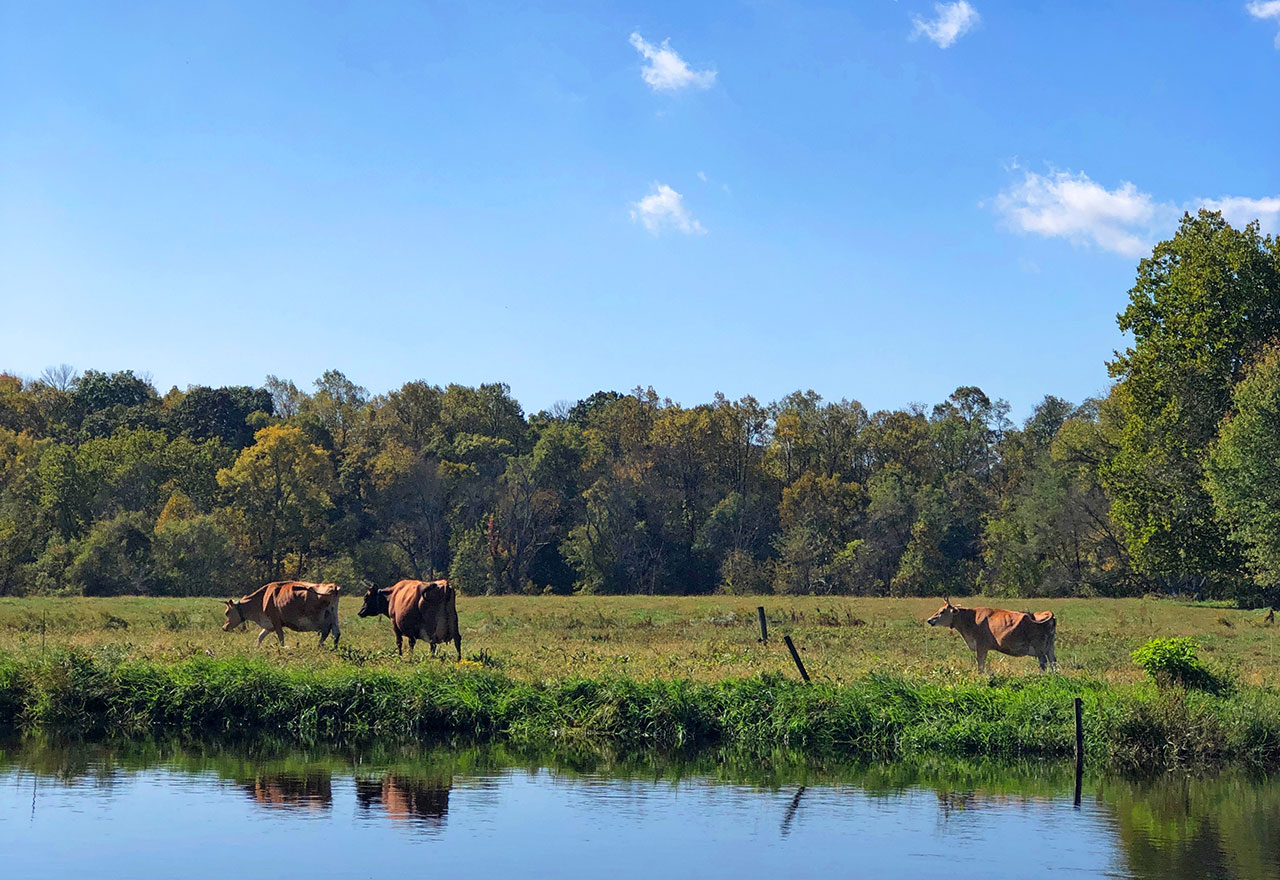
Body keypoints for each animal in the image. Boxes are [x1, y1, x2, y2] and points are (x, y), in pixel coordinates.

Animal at [926, 598, 1054, 675]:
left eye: (942, 611)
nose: (929, 620)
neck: (971, 618)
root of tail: (1048, 614)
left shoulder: (981, 645)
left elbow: (980, 663)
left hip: (1039, 648)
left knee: (1043, 663)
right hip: (1050, 648)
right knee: (1053, 662)